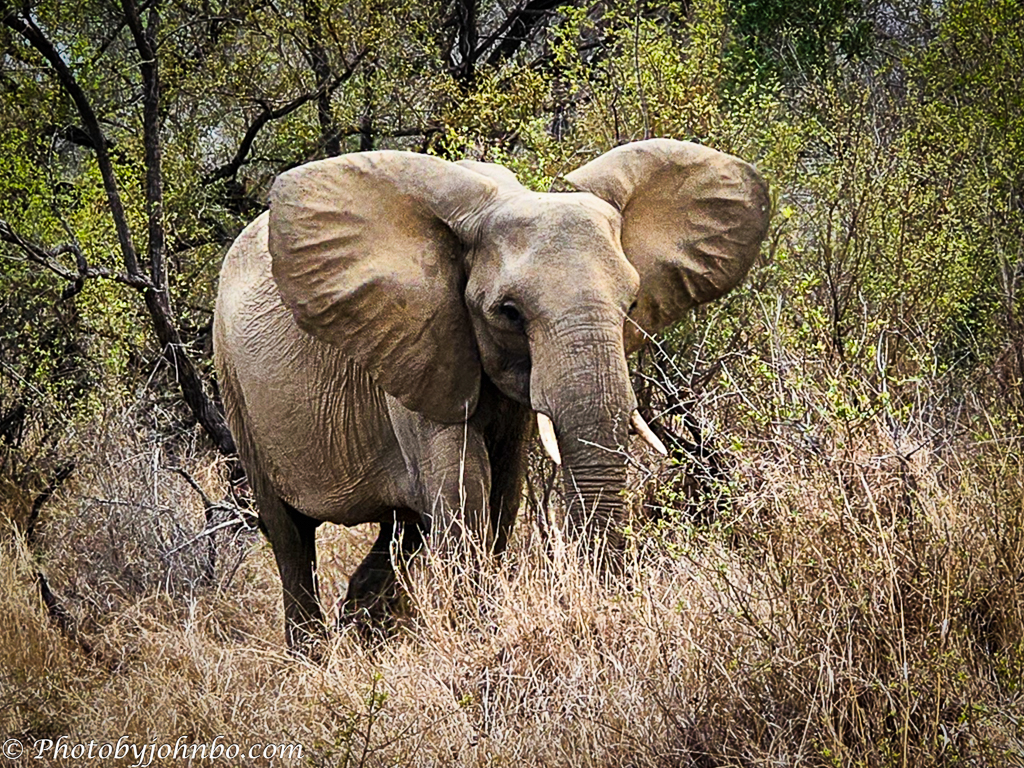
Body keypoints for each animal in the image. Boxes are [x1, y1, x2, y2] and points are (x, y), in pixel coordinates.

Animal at [212, 138, 769, 649]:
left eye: (632, 304)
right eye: (508, 312)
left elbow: (502, 496)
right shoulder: (419, 338)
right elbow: (464, 495)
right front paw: (477, 642)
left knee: (401, 531)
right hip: (234, 387)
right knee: (290, 537)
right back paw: (314, 656)